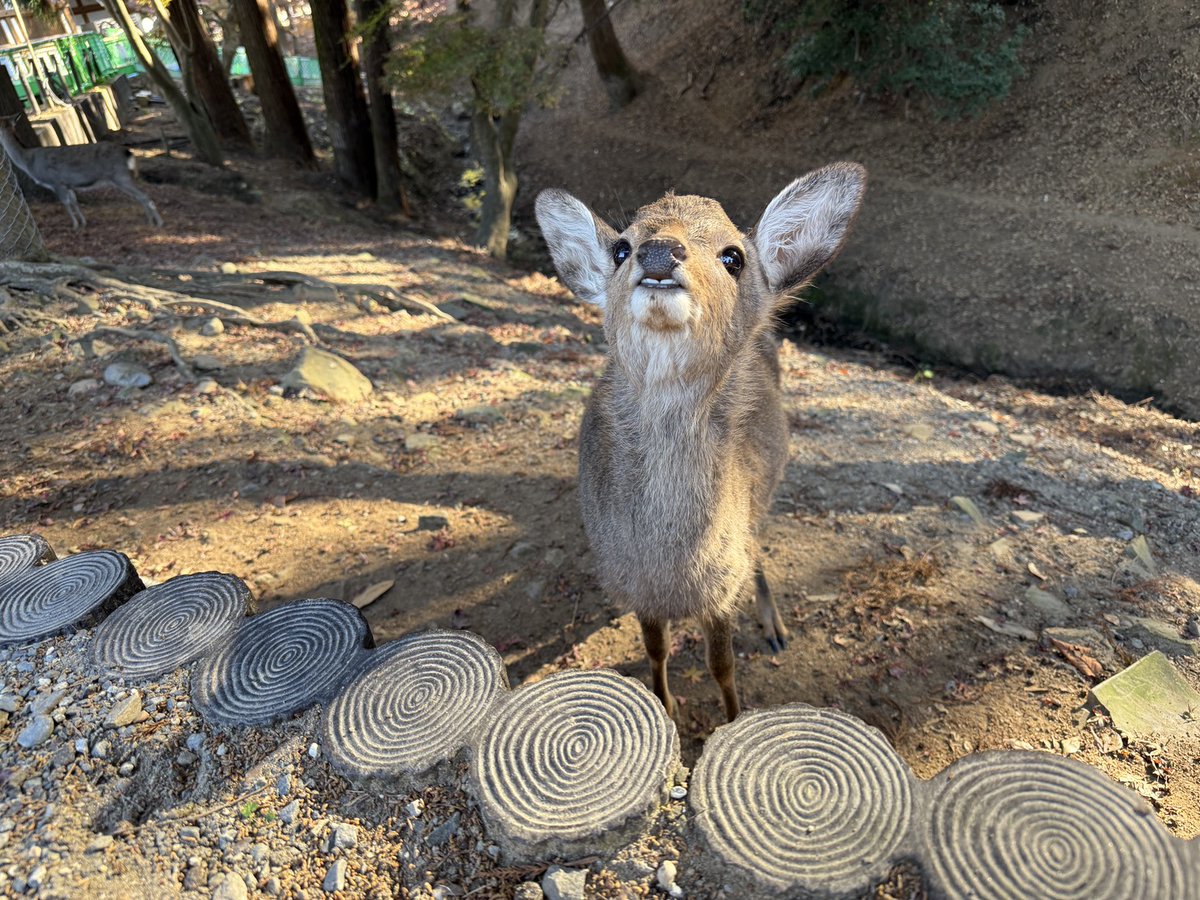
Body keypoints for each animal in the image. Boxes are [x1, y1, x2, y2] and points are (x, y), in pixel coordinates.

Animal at [0, 115, 163, 229]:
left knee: (143, 195)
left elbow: (66, 203)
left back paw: (158, 222)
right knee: (139, 196)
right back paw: (150, 220)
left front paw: (75, 225)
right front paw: (83, 222)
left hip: (120, 176)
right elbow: (74, 201)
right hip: (123, 177)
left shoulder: (56, 182)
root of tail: (127, 152)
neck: (29, 162)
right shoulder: (68, 184)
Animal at [535, 163, 866, 722]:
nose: (658, 252)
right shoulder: (636, 588)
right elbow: (656, 650)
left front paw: (731, 723)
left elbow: (722, 666)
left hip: (764, 497)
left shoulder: (721, 588)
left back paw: (775, 628)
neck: (671, 567)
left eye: (733, 256)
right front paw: (666, 708)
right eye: (621, 247)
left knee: (757, 550)